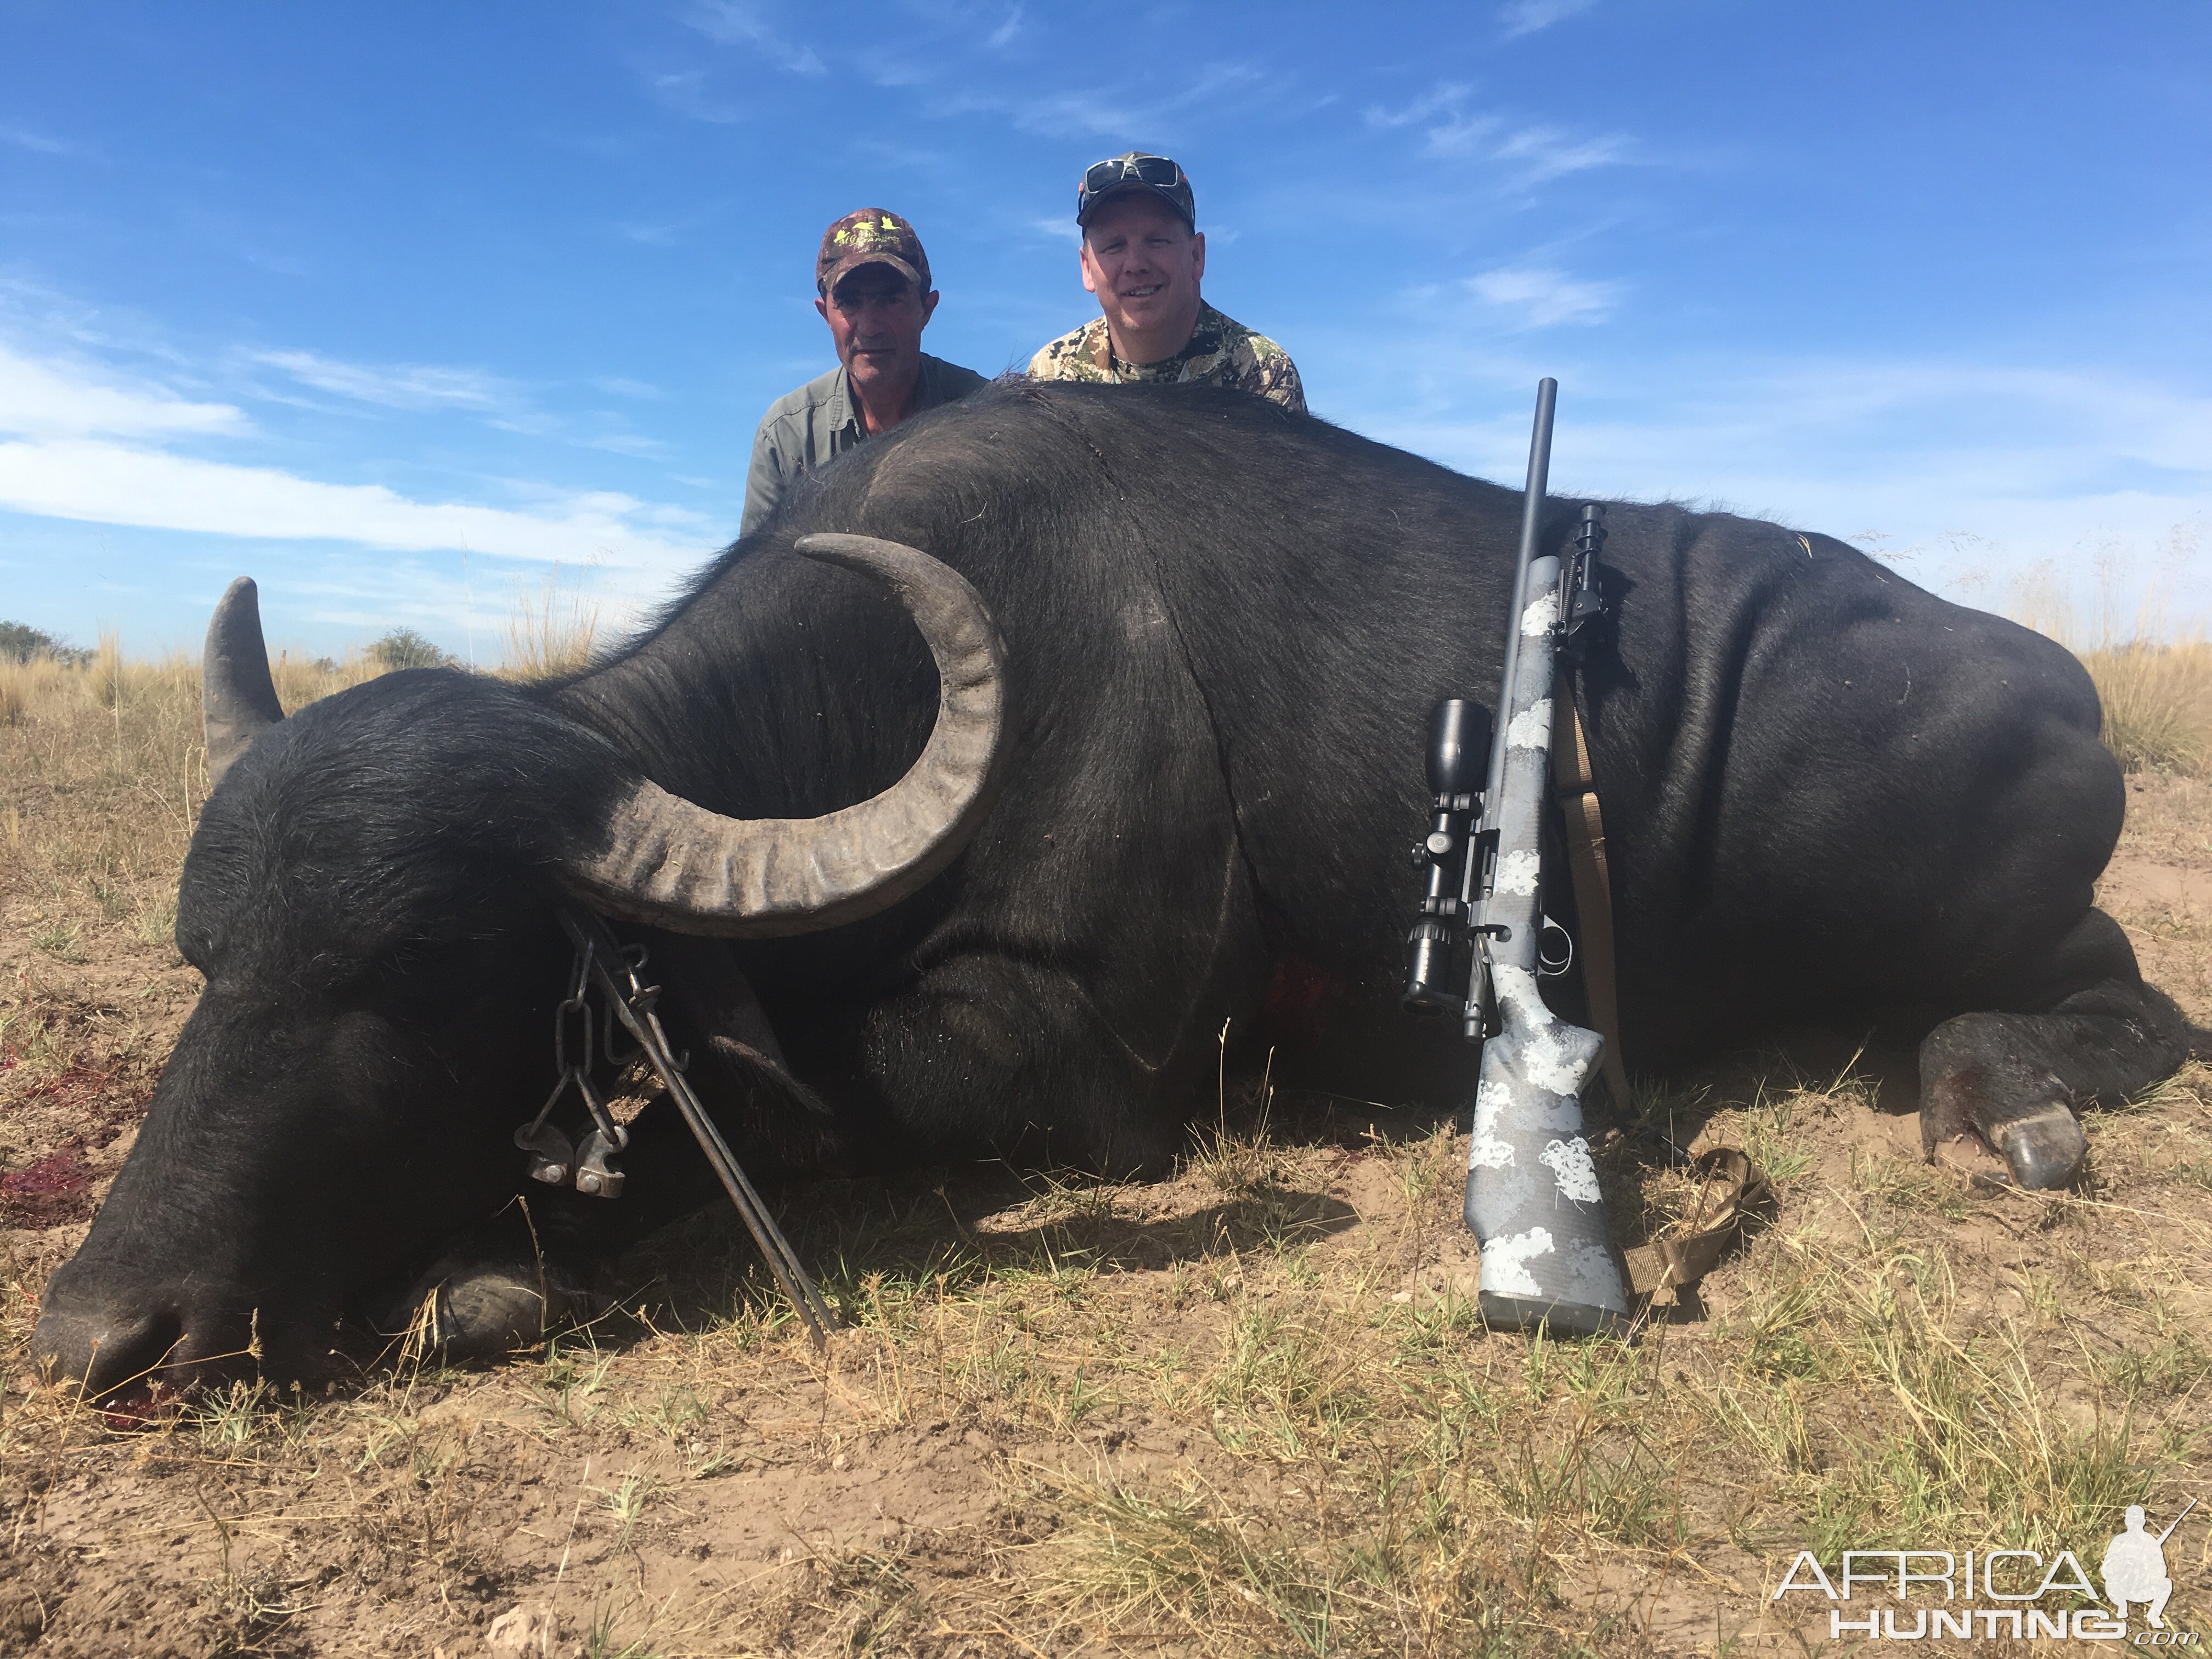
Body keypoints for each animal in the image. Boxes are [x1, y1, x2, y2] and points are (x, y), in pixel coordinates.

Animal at [35, 382, 2194, 1398]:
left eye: (414, 975)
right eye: (211, 961)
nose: (94, 1338)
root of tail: (2066, 689)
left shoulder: (1081, 1068)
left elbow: (760, 1107)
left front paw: (499, 1264)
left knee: (2117, 997)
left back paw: (2005, 1101)